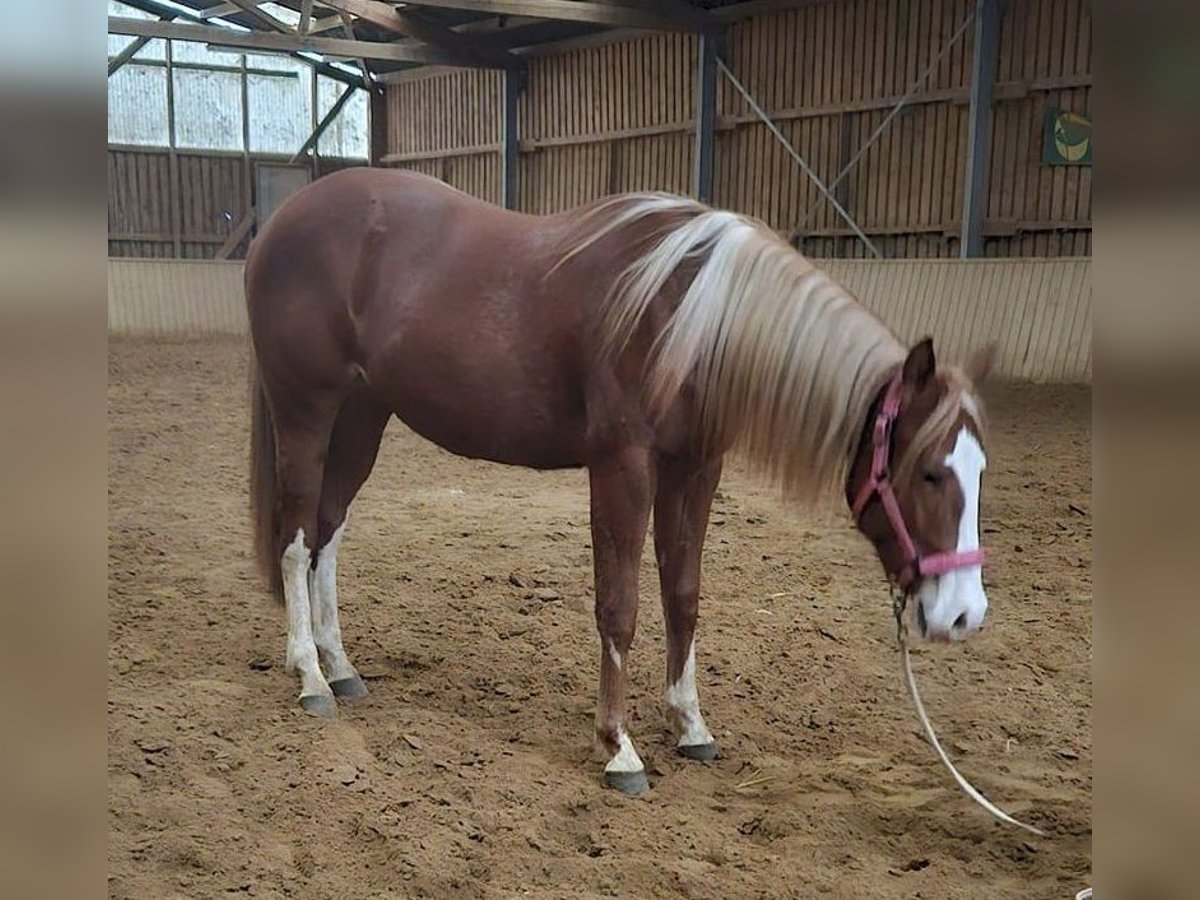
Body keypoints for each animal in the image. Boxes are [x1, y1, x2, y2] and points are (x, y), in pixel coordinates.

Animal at [246, 169, 993, 796]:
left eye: (981, 470)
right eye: (929, 472)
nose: (964, 613)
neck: (689, 313)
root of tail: (281, 222)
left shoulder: (696, 468)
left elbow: (682, 596)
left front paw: (690, 724)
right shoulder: (623, 465)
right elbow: (621, 605)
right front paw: (619, 747)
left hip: (362, 416)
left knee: (327, 532)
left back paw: (340, 667)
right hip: (307, 410)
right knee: (296, 533)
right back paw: (309, 676)